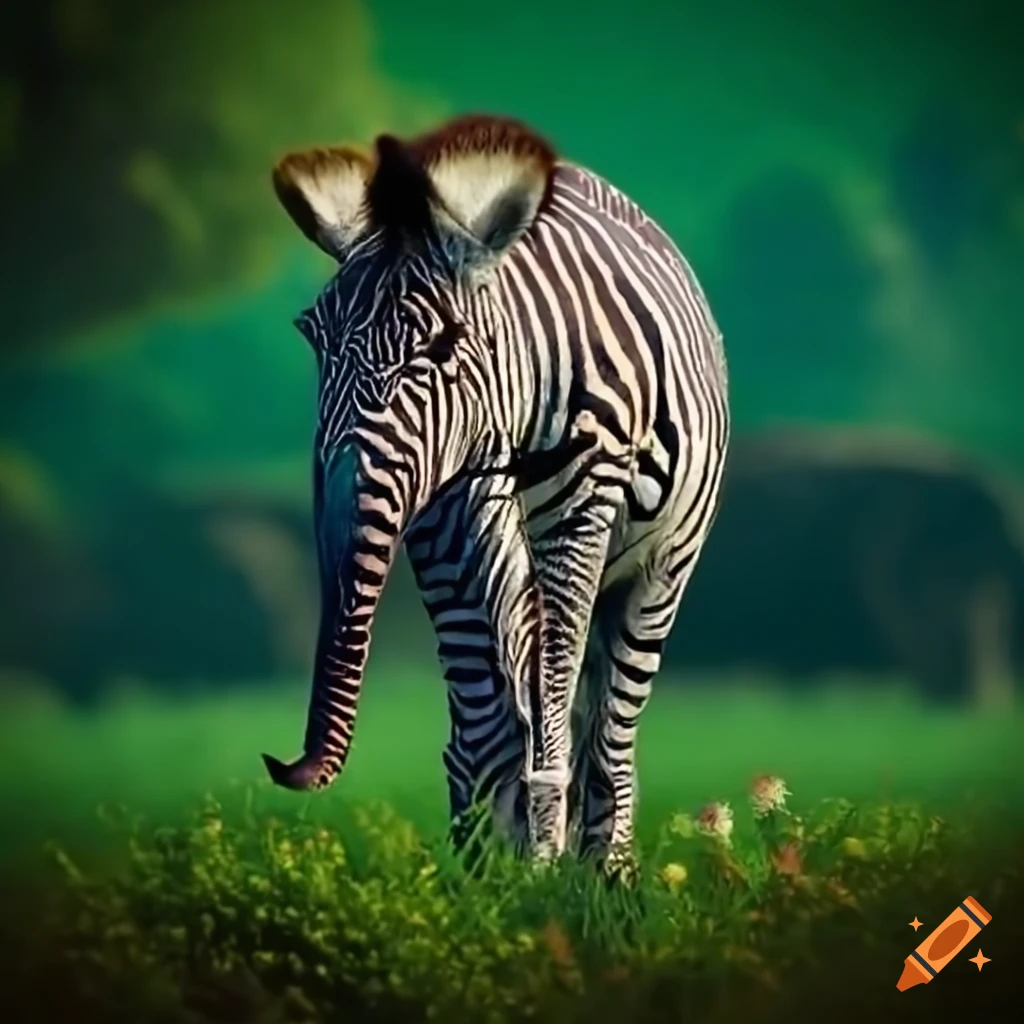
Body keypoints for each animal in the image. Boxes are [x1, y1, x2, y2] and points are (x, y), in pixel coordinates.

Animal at [261, 114, 729, 867]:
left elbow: (554, 702)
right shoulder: (443, 519)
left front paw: (543, 867)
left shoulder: (580, 512)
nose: (287, 766)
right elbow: (487, 720)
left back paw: (607, 872)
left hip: (662, 566)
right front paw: (487, 872)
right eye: (311, 337)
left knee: (612, 724)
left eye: (443, 345)